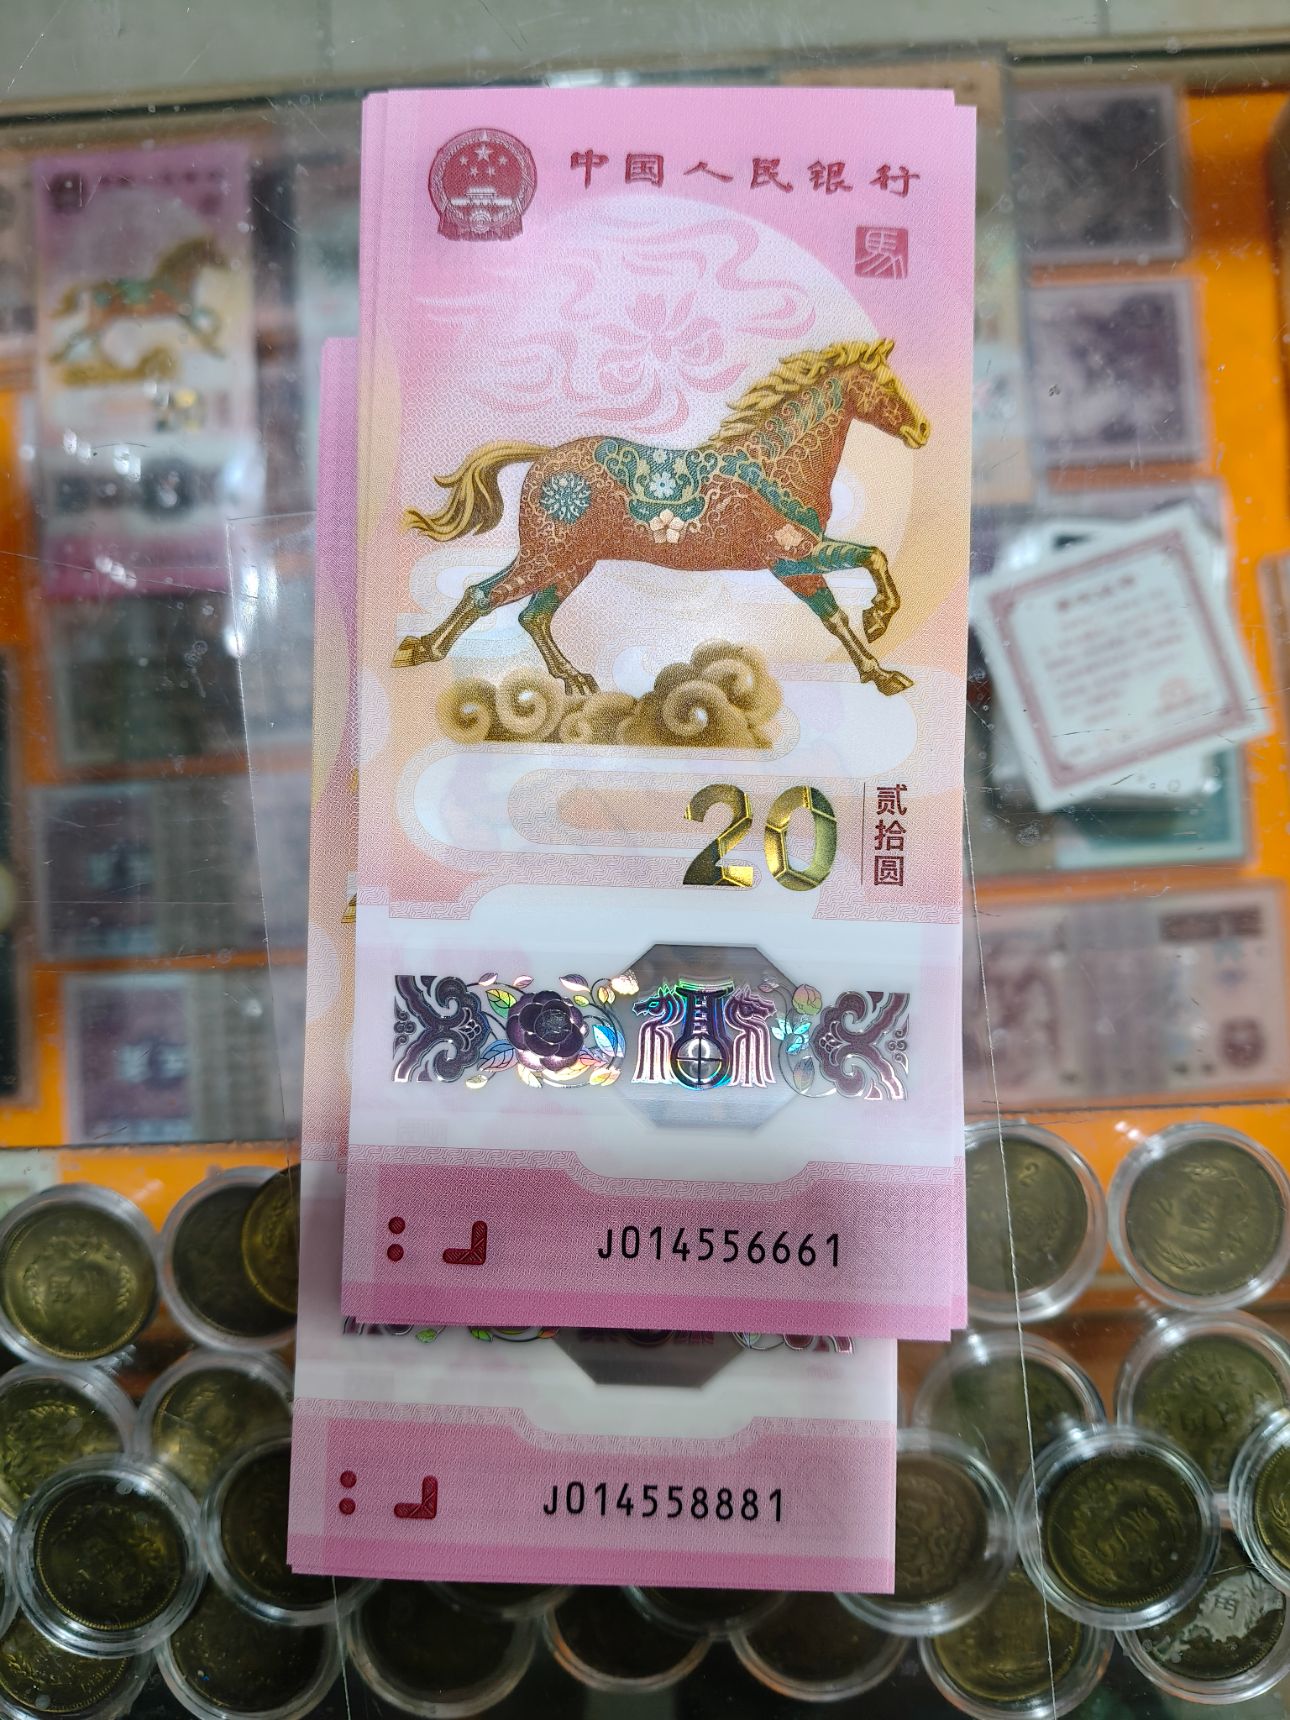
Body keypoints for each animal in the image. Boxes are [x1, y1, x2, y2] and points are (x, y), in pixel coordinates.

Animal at [50, 236, 229, 365]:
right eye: (212, 251)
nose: (226, 263)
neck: (175, 281)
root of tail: (93, 287)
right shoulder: (188, 313)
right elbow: (208, 325)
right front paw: (217, 350)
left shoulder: (186, 316)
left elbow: (211, 322)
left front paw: (215, 346)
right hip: (101, 320)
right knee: (80, 336)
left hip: (101, 321)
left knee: (92, 341)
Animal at [395, 338, 930, 699]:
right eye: (885, 383)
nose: (922, 429)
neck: (779, 465)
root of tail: (544, 456)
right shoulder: (792, 557)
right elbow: (872, 558)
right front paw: (879, 619)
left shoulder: (798, 564)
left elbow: (836, 615)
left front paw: (882, 672)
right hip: (549, 555)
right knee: (483, 594)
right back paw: (419, 650)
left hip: (567, 561)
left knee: (531, 614)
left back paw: (575, 679)